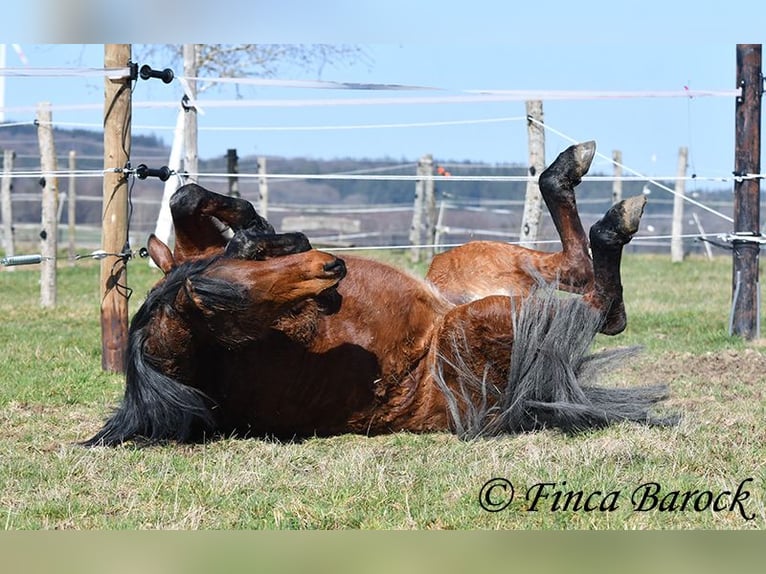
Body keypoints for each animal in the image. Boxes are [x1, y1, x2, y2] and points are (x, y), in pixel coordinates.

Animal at [83, 141, 675, 446]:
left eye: (252, 266)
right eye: (241, 301)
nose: (329, 265)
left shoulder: (189, 252)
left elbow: (183, 199)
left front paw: (253, 223)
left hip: (464, 266)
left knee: (581, 277)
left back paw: (573, 176)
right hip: (481, 319)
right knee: (592, 305)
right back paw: (611, 221)